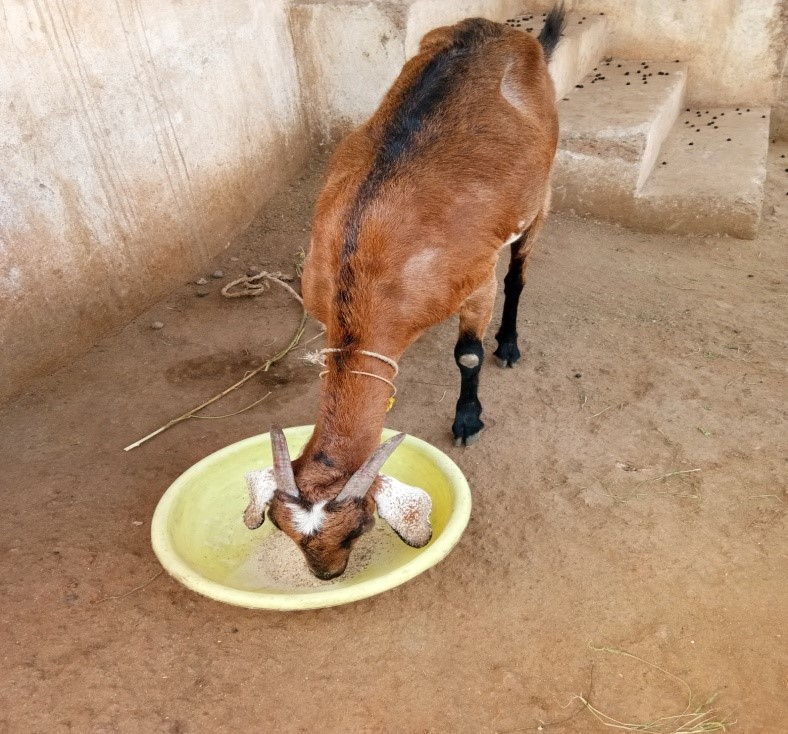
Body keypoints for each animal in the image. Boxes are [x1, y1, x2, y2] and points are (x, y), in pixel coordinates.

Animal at [243, 8, 565, 579]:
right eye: (283, 529)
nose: (326, 576)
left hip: (541, 194)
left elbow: (467, 353)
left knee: (520, 272)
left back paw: (508, 344)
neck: (366, 264)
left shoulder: (474, 281)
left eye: (361, 525)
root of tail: (508, 31)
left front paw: (468, 419)